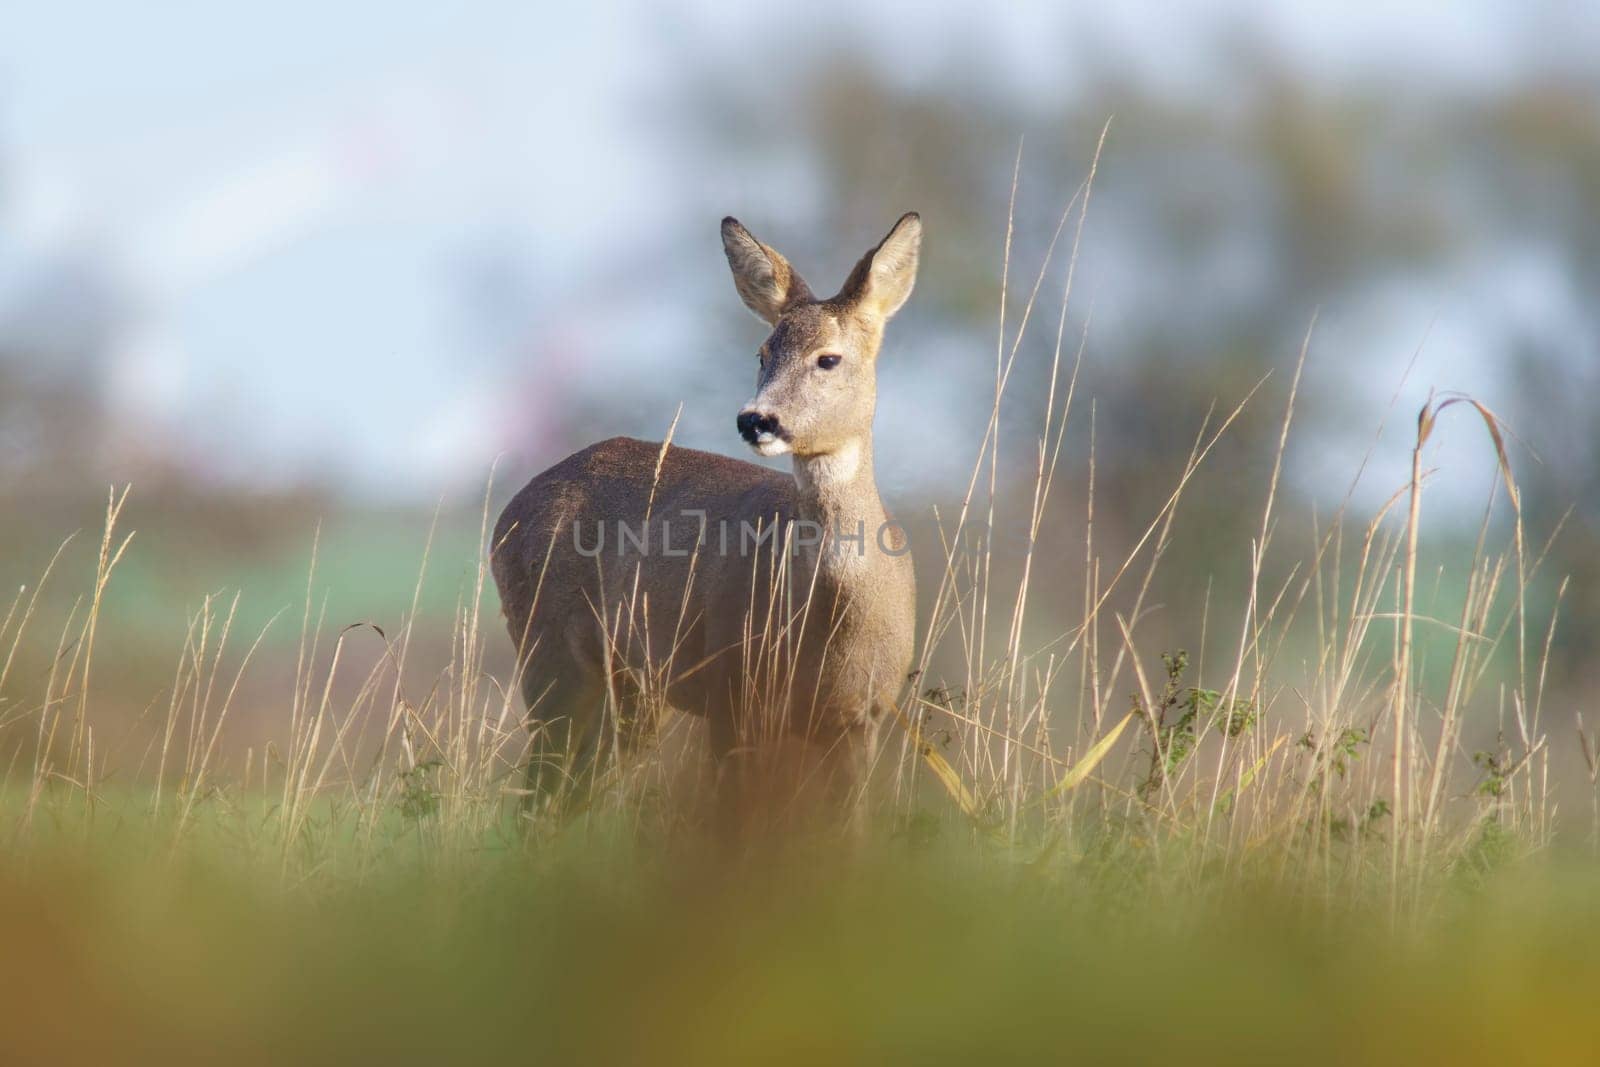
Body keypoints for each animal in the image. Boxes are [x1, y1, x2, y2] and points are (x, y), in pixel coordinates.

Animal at [486, 207, 921, 825]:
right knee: (538, 794)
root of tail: (510, 511)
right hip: (548, 651)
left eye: (828, 358)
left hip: (634, 692)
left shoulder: (862, 716)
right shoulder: (731, 695)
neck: (833, 613)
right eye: (762, 353)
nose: (755, 420)